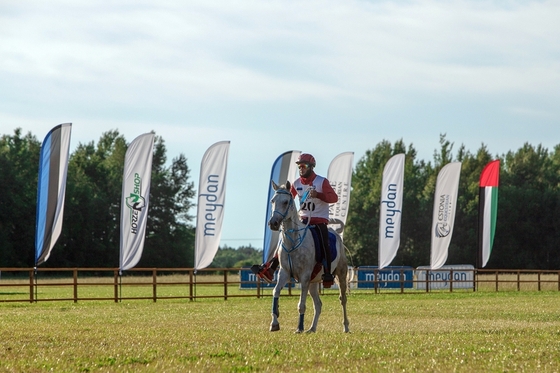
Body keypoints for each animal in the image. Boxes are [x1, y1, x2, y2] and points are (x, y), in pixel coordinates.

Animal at [266, 179, 350, 332]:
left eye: (285, 202)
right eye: (272, 201)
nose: (273, 223)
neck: (293, 242)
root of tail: (337, 235)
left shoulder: (304, 276)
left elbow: (301, 305)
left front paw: (299, 328)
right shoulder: (284, 273)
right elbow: (275, 292)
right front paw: (274, 323)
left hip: (340, 273)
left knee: (343, 299)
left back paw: (346, 327)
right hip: (313, 282)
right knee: (318, 304)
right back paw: (312, 328)